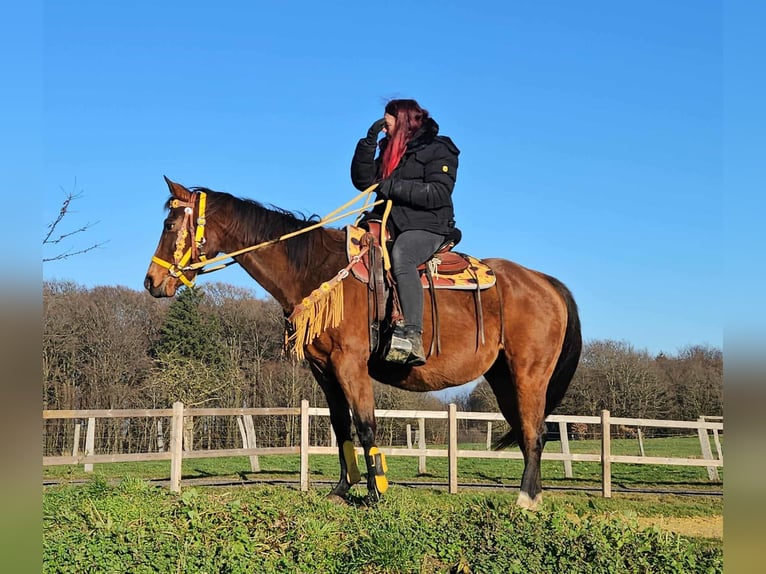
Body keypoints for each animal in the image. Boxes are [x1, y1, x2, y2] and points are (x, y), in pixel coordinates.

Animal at [144, 177, 582, 509]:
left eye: (170, 225)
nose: (152, 281)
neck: (317, 270)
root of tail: (546, 283)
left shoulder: (350, 363)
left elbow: (366, 425)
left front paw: (374, 493)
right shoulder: (324, 370)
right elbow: (342, 427)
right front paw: (343, 489)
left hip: (528, 375)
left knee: (535, 433)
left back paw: (525, 499)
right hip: (503, 378)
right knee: (527, 431)